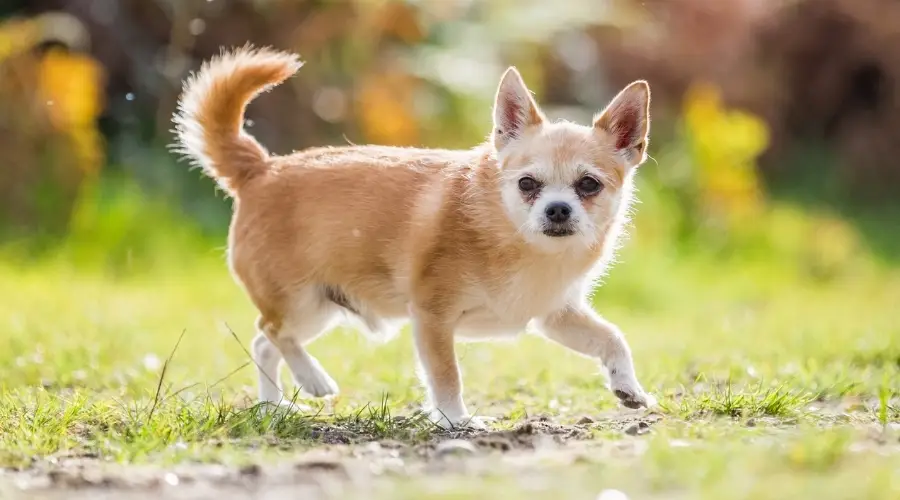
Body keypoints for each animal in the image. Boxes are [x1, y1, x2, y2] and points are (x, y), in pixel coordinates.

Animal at [172, 46, 656, 430]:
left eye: (589, 185)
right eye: (527, 184)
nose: (557, 210)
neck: (518, 241)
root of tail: (260, 167)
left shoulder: (554, 315)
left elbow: (612, 337)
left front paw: (629, 387)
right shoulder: (432, 319)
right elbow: (446, 376)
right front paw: (456, 421)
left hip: (321, 308)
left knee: (263, 342)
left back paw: (272, 407)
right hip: (300, 301)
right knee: (272, 331)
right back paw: (312, 379)